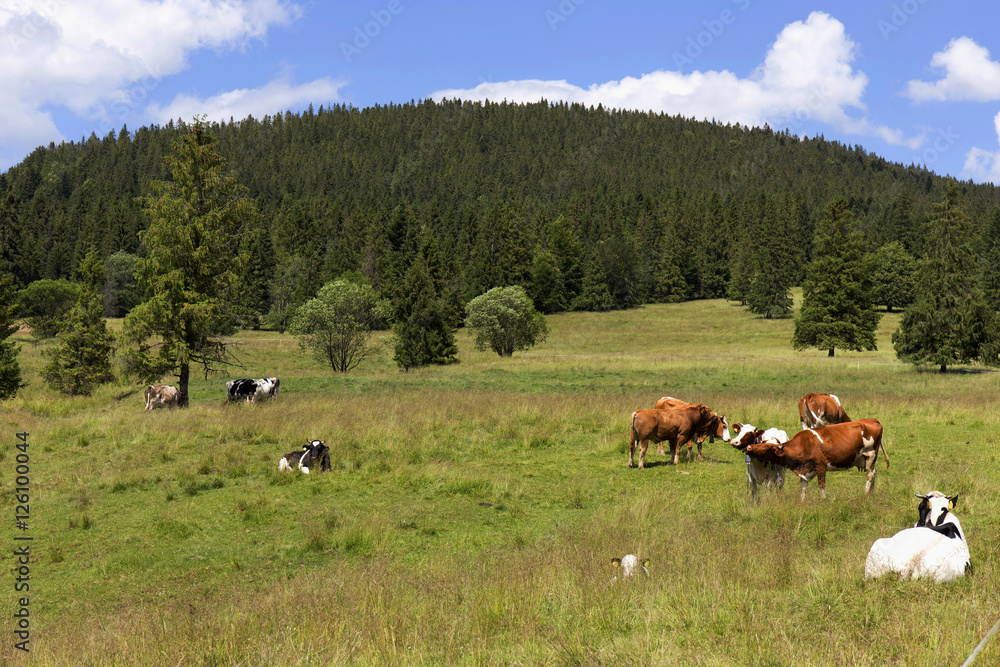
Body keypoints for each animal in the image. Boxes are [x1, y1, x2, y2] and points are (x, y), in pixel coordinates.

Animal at [744, 419, 888, 499]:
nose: (749, 447)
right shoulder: (805, 469)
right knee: (873, 473)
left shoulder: (821, 466)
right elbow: (803, 485)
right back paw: (871, 493)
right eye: (762, 441)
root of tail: (873, 420)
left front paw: (823, 500)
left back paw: (865, 493)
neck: (804, 445)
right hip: (864, 460)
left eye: (767, 446)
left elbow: (821, 485)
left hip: (870, 456)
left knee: (870, 474)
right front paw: (802, 500)